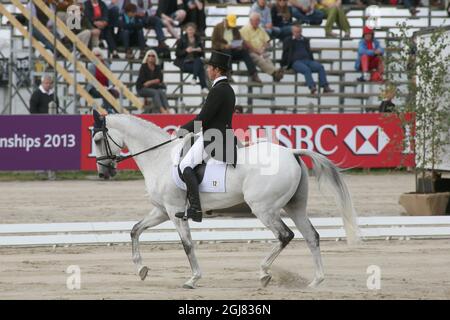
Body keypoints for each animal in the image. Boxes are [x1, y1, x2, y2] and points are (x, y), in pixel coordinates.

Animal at [93, 111, 360, 288]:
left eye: (97, 140)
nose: (104, 173)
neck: (159, 157)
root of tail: (292, 152)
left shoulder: (174, 210)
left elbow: (187, 245)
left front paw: (193, 279)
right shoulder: (162, 210)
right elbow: (135, 230)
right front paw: (141, 269)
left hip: (264, 208)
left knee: (285, 235)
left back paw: (264, 273)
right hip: (294, 207)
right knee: (311, 236)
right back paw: (316, 281)